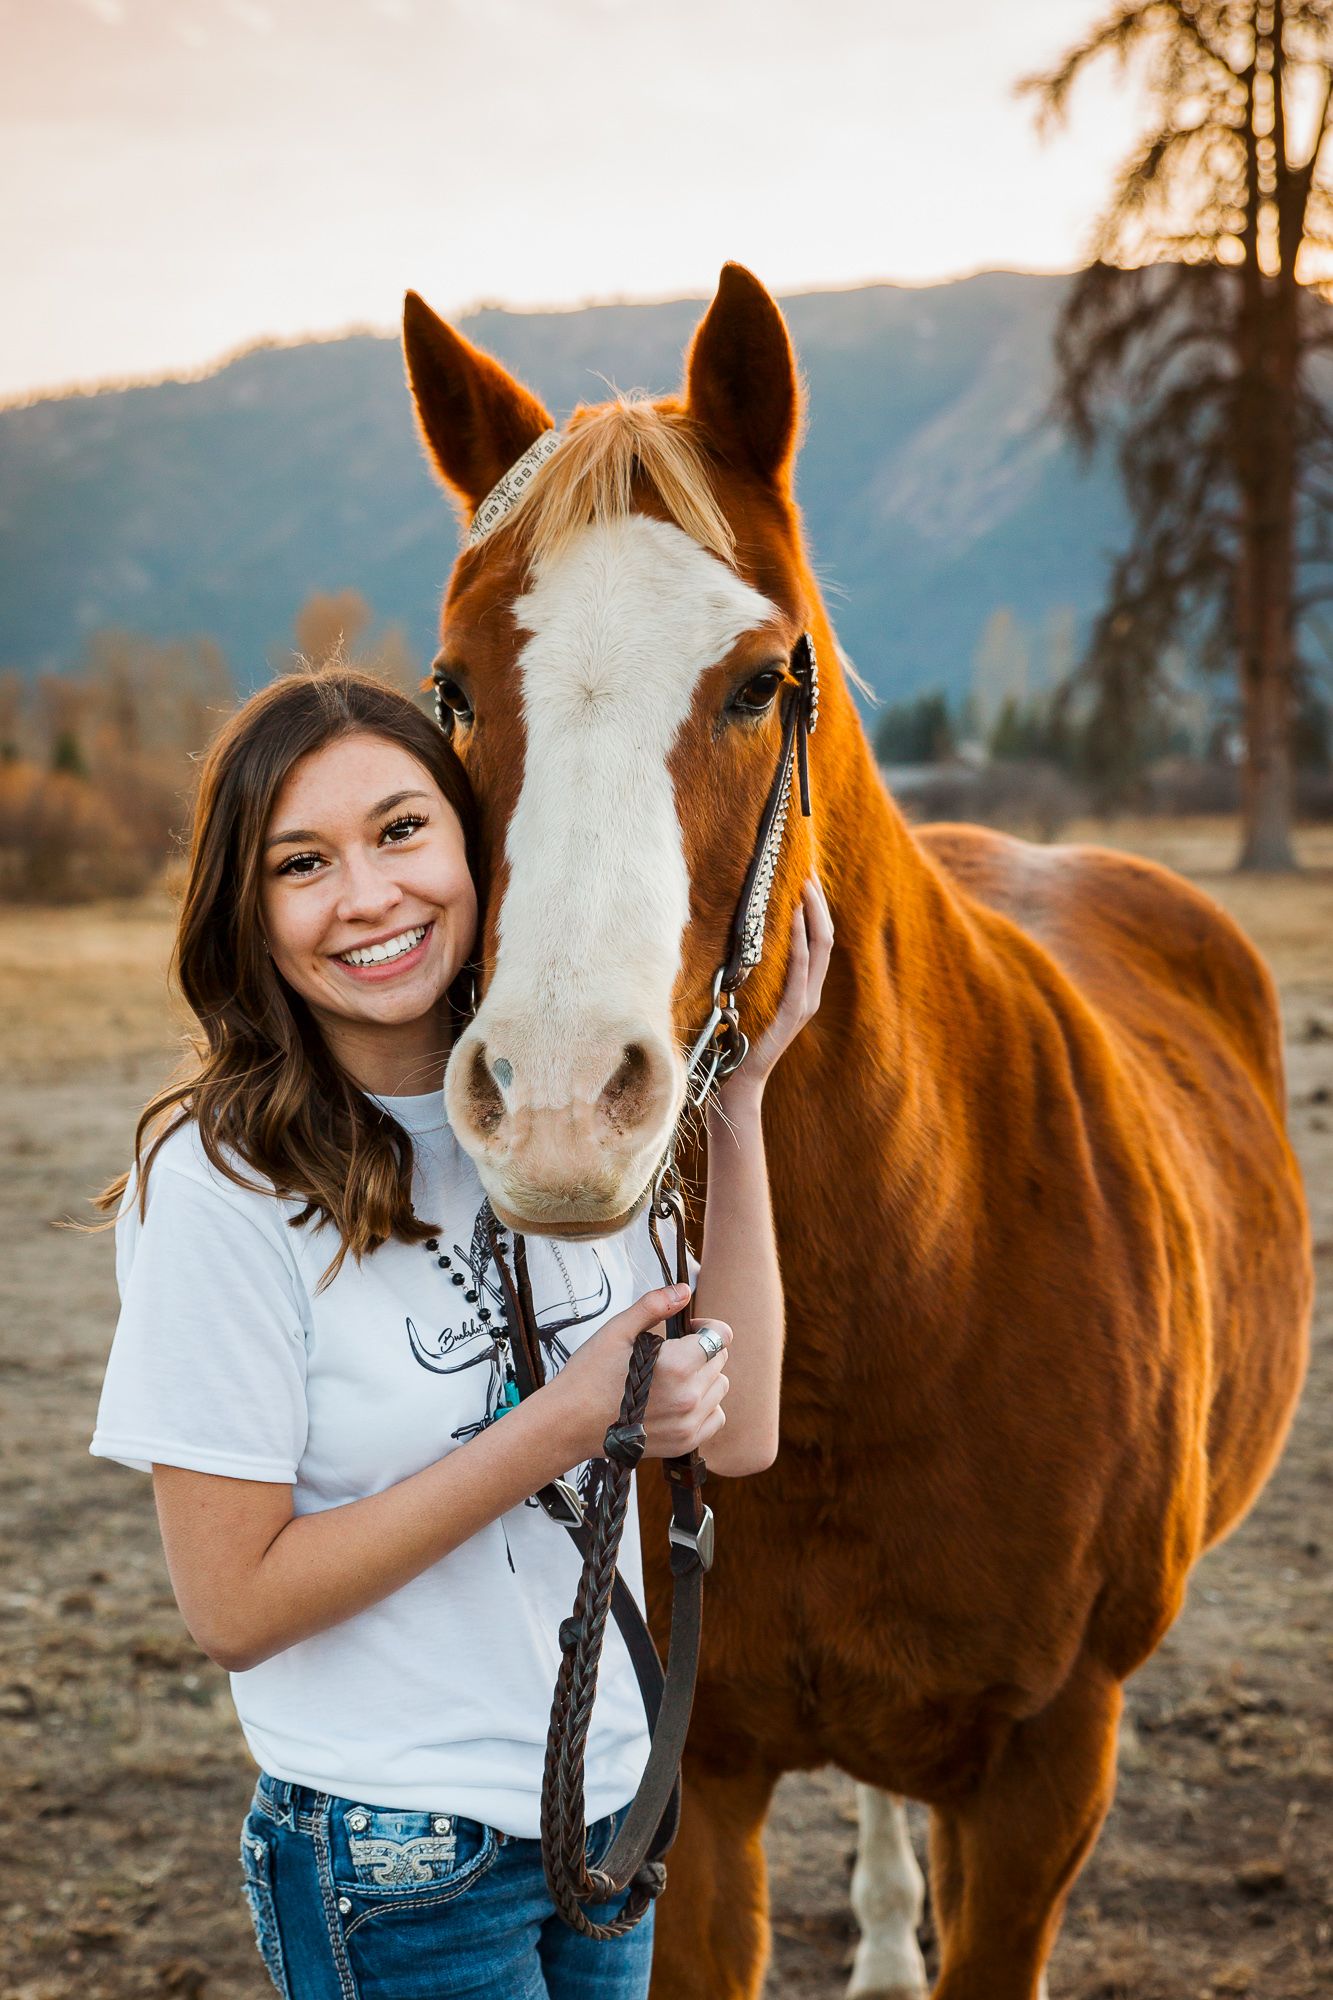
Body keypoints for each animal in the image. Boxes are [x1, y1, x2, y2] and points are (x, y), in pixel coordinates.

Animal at [399, 264, 1310, 2000]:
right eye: (459, 692)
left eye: (763, 679)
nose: (557, 1097)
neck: (896, 1300)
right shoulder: (691, 1788)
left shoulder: (1043, 1777)